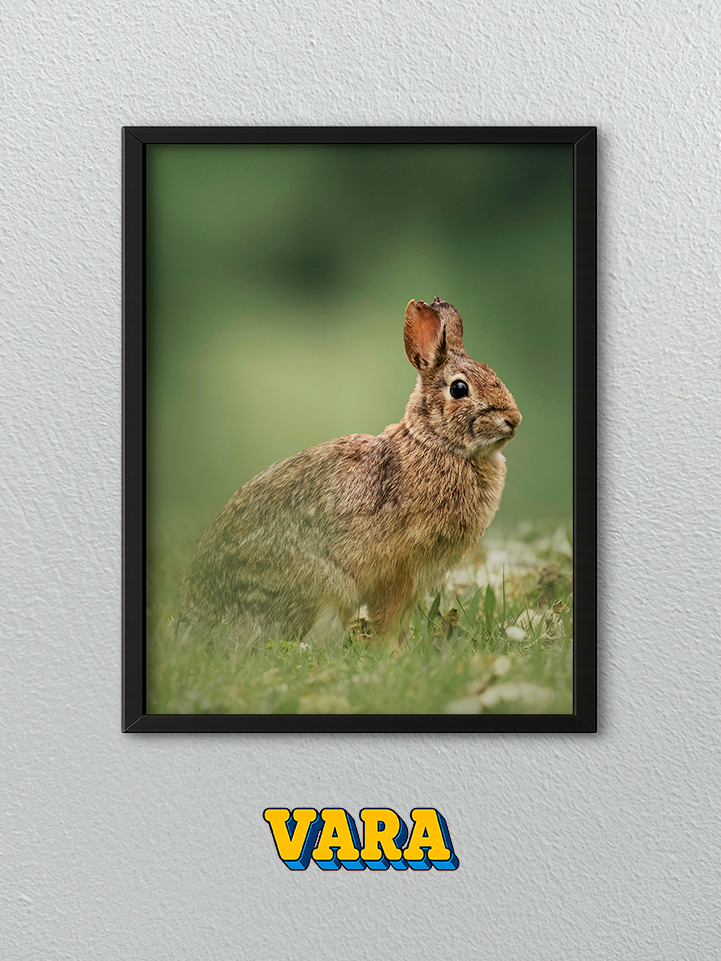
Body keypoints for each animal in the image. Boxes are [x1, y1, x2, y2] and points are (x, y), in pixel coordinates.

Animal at [180, 297, 521, 648]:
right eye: (459, 388)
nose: (514, 419)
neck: (436, 443)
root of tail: (197, 617)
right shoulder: (399, 569)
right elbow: (389, 617)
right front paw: (396, 652)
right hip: (321, 589)